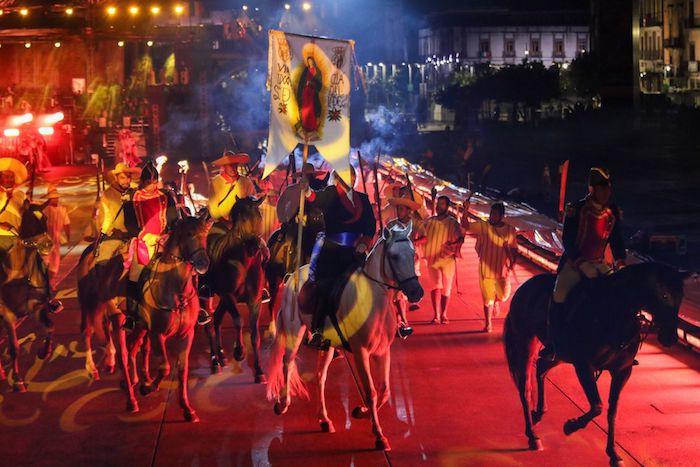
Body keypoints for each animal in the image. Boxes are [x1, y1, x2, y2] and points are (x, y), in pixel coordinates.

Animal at [0, 203, 55, 394]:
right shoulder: (7, 315)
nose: (48, 244)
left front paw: (44, 351)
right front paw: (17, 381)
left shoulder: (36, 307)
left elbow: (49, 325)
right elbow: (15, 348)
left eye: (45, 218)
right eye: (28, 220)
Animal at [129, 214, 211, 422]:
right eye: (189, 233)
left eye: (205, 235)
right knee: (128, 350)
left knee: (137, 348)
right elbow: (164, 367)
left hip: (143, 327)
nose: (203, 264)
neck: (176, 290)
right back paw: (132, 388)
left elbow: (182, 370)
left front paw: (187, 408)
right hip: (138, 326)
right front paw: (148, 388)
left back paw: (141, 379)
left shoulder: (186, 335)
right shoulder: (158, 334)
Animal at [206, 197, 270, 384]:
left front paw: (259, 371)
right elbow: (238, 320)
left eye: (258, 216)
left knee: (217, 318)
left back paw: (221, 356)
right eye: (239, 217)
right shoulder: (229, 297)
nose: (254, 247)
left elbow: (255, 335)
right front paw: (239, 352)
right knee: (208, 324)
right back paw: (215, 361)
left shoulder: (255, 301)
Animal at [266, 223, 422, 454]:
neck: (374, 301)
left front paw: (361, 412)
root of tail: (292, 275)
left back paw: (324, 419)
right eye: (393, 256)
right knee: (288, 363)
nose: (416, 292)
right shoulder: (360, 352)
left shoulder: (382, 351)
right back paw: (282, 404)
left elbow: (384, 391)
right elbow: (371, 392)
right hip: (295, 330)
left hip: (327, 345)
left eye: (413, 254)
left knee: (320, 376)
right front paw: (379, 436)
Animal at [504, 262, 688, 466]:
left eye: (681, 297)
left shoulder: (622, 371)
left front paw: (614, 453)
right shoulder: (584, 366)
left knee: (542, 368)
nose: (671, 338)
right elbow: (597, 406)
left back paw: (539, 412)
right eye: (664, 295)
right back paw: (532, 435)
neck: (615, 315)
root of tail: (524, 288)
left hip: (558, 355)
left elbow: (612, 411)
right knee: (525, 387)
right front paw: (571, 426)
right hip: (525, 343)